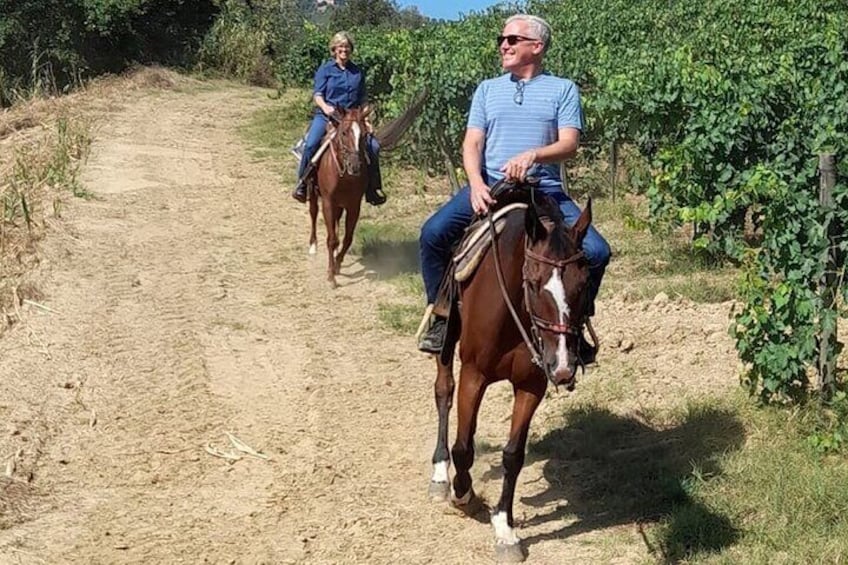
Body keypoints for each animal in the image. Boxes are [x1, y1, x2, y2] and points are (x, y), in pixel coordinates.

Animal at [306, 106, 370, 286]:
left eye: (364, 134)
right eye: (344, 133)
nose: (355, 166)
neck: (344, 176)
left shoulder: (354, 206)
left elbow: (347, 238)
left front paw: (337, 265)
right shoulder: (328, 202)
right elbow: (332, 239)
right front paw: (331, 275)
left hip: (340, 205)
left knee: (336, 222)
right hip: (313, 193)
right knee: (313, 213)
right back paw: (313, 245)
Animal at [430, 187, 588, 560]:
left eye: (584, 283)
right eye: (533, 283)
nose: (563, 367)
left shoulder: (531, 385)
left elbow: (513, 455)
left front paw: (505, 528)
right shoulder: (474, 375)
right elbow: (464, 447)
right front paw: (464, 495)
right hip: (447, 344)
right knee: (443, 391)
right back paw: (441, 474)